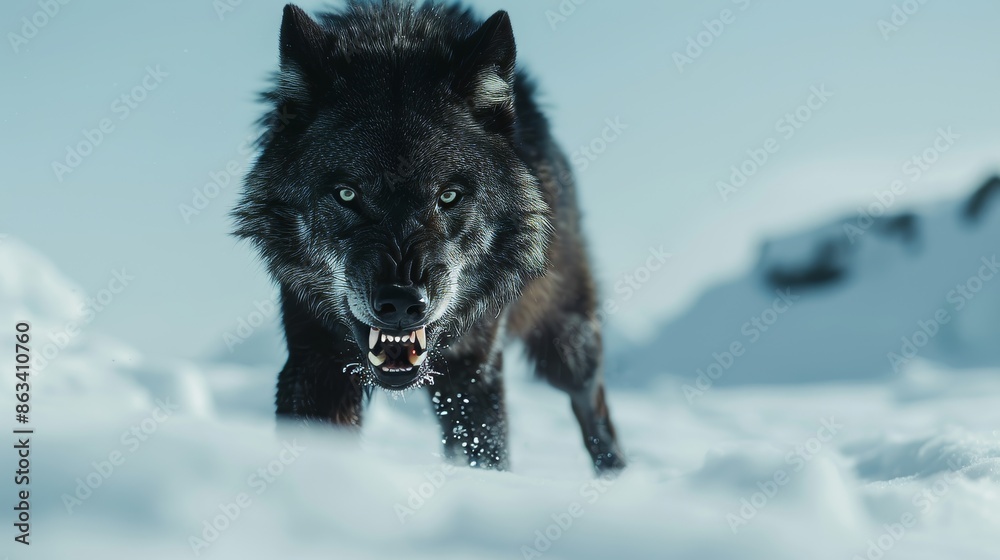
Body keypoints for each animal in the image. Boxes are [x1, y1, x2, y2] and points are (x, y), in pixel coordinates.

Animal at [233, 1, 625, 473]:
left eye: (448, 196)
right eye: (347, 194)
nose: (401, 303)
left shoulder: (473, 368)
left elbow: (483, 448)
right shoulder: (314, 356)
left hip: (565, 340)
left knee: (591, 399)